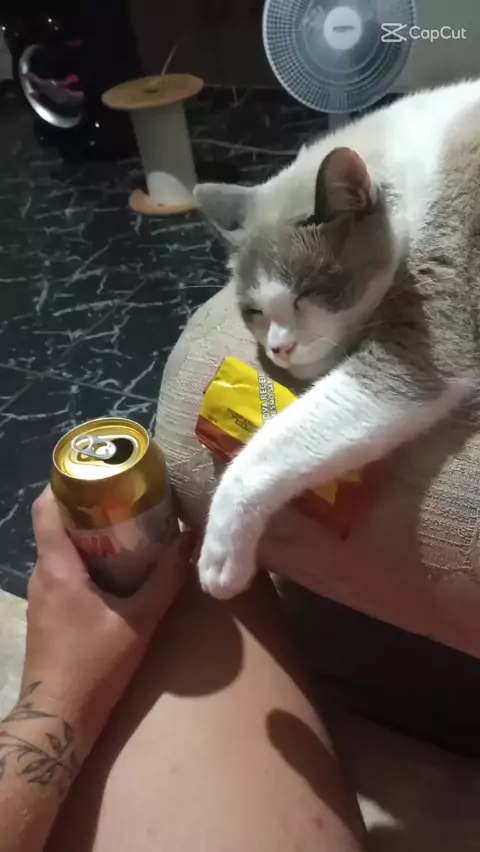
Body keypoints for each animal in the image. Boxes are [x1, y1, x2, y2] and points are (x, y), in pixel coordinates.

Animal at [194, 79, 480, 599]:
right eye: (254, 312)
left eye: (308, 293)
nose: (279, 349)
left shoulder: (419, 343)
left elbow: (267, 447)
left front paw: (220, 560)